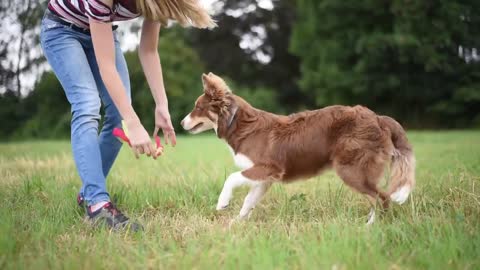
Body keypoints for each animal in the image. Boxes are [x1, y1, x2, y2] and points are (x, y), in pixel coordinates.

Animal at [182, 72, 414, 224]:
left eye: (197, 107)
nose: (182, 123)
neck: (239, 124)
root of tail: (378, 117)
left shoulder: (268, 167)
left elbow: (231, 178)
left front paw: (222, 203)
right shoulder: (265, 178)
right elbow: (249, 200)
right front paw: (237, 224)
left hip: (351, 170)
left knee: (382, 197)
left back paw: (371, 227)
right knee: (379, 197)